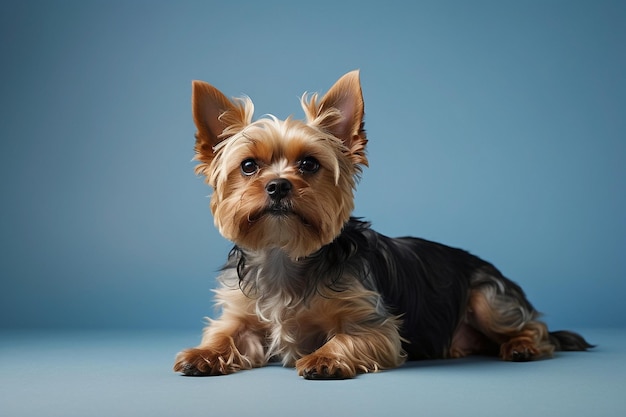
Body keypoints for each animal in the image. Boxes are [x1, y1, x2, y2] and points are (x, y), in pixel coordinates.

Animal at [172, 70, 588, 376]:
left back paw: (521, 346)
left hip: (488, 296)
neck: (284, 255)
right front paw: (202, 354)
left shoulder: (375, 323)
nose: (277, 185)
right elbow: (227, 333)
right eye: (248, 166)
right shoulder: (241, 313)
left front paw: (324, 358)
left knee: (535, 327)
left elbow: (349, 337)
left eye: (308, 164)